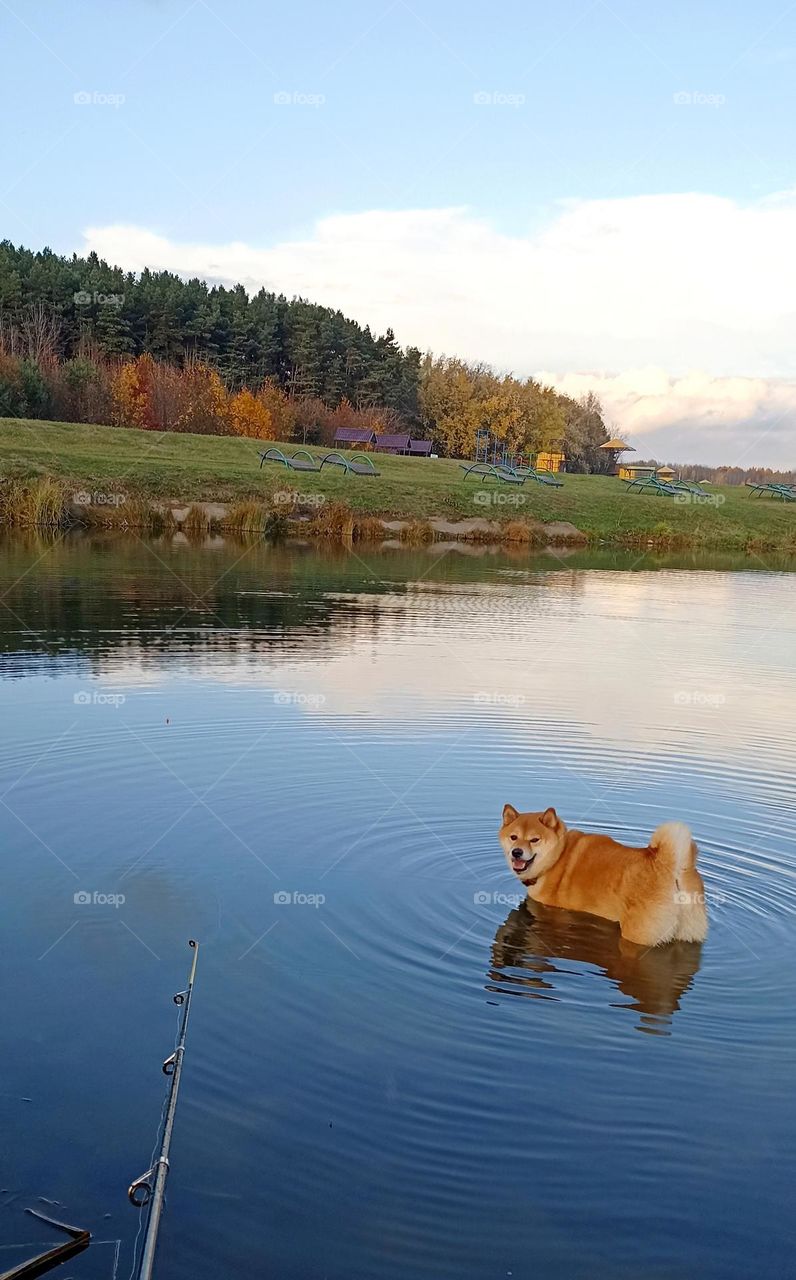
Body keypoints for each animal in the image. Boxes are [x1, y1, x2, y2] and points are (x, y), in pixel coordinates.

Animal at [499, 803, 711, 947]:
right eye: (513, 837)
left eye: (534, 840)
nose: (516, 852)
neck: (557, 857)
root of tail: (668, 863)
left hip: (640, 933)